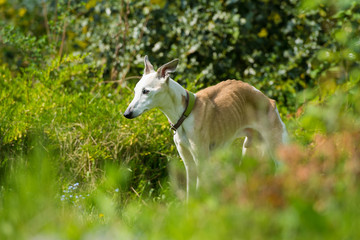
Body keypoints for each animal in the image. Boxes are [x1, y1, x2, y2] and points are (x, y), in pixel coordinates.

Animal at [124, 56, 286, 201]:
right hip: (249, 152)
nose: (126, 114)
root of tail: (267, 99)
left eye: (146, 91)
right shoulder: (189, 163)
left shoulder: (202, 160)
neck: (185, 113)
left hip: (276, 148)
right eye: (135, 90)